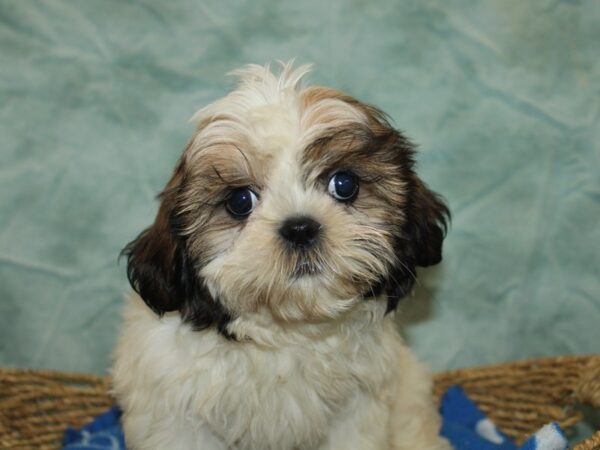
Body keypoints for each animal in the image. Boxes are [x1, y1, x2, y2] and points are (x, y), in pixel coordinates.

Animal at [112, 62, 450, 450]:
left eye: (344, 184)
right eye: (240, 201)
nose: (300, 228)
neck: (290, 334)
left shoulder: (357, 409)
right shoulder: (177, 415)